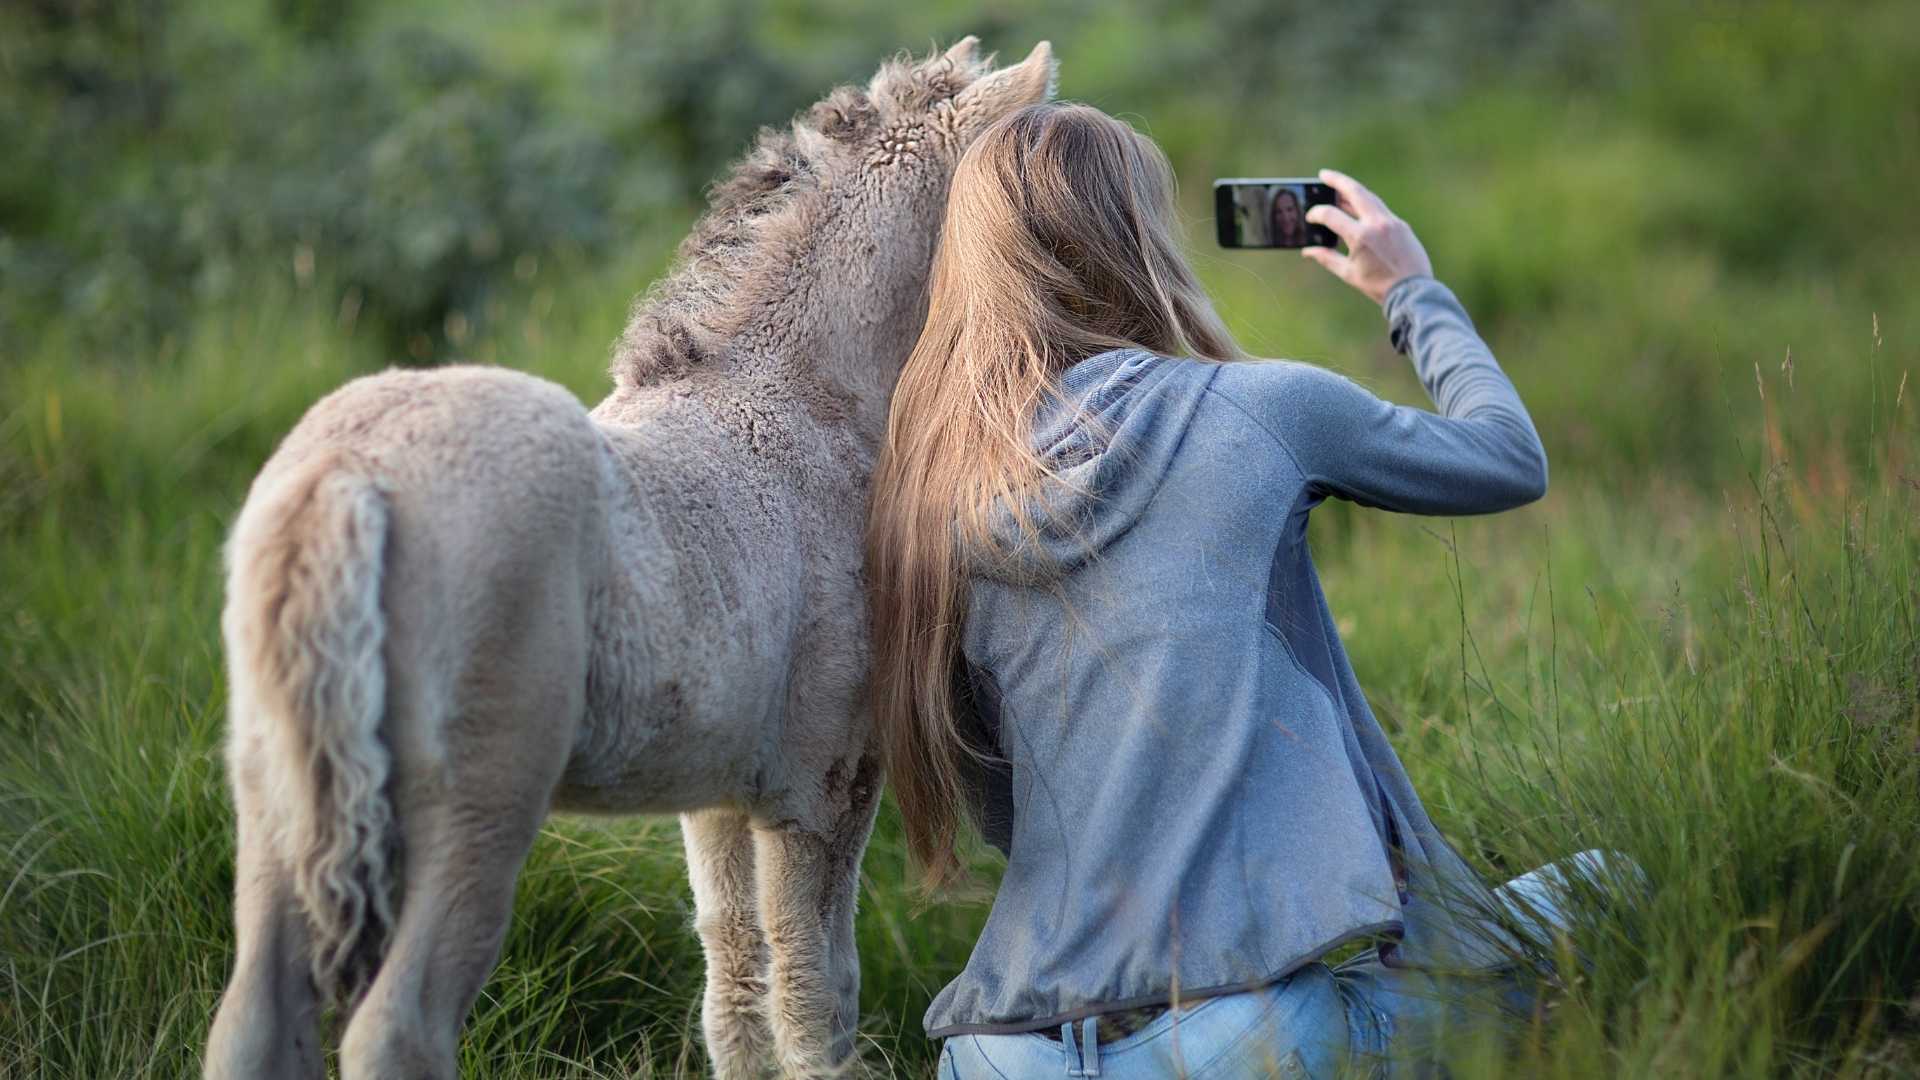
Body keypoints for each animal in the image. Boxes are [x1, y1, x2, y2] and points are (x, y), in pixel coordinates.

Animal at [202, 37, 1059, 1068]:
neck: (808, 405)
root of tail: (348, 473)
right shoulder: (824, 785)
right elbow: (816, 994)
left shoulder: (721, 795)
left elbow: (736, 983)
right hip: (475, 814)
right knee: (395, 1028)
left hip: (277, 796)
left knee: (250, 1016)